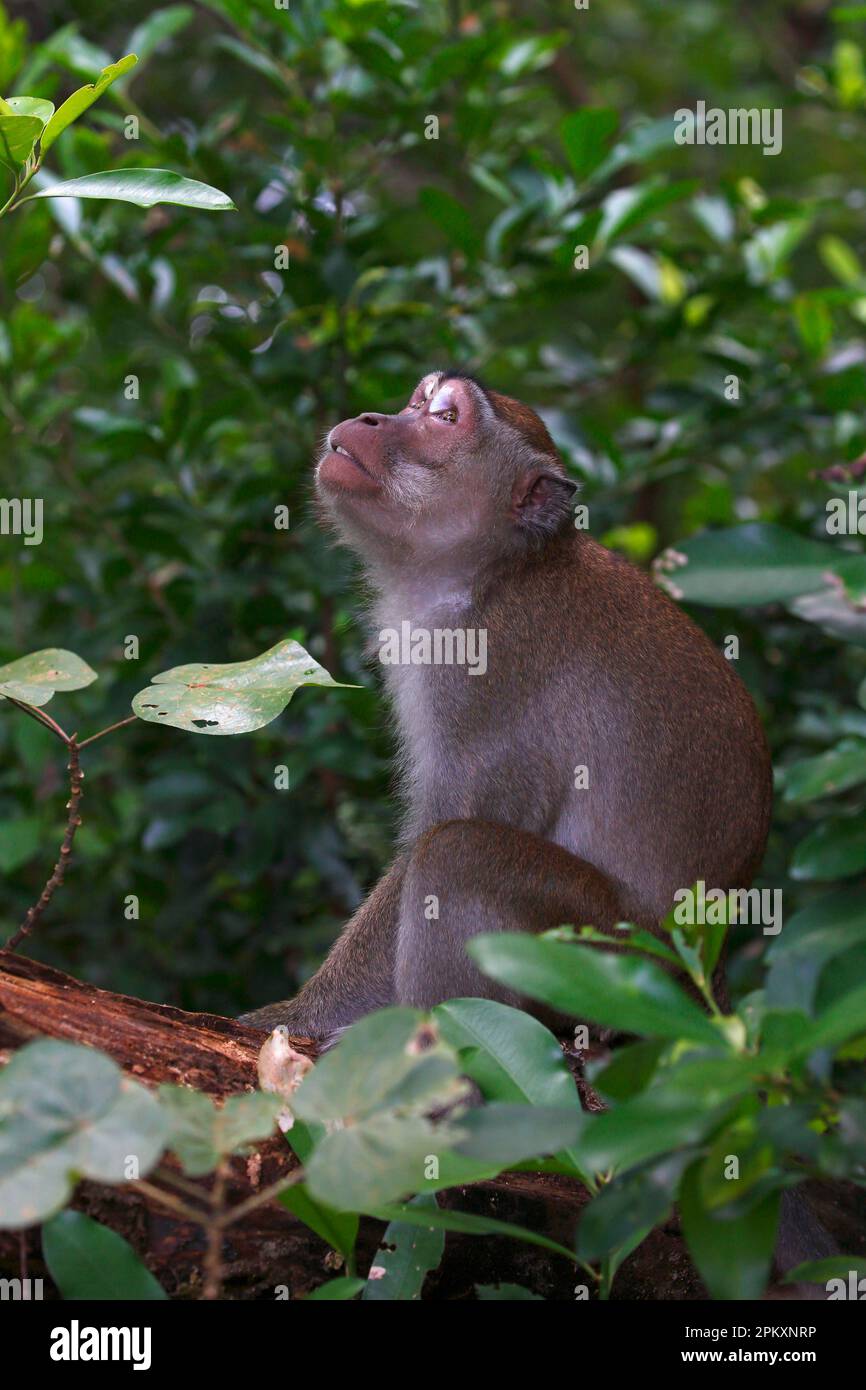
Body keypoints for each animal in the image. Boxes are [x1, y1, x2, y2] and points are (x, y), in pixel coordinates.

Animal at [241, 369, 773, 1040]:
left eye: (445, 418)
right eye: (416, 401)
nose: (369, 417)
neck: (491, 574)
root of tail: (702, 982)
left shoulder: (483, 677)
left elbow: (447, 828)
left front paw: (295, 1016)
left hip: (604, 956)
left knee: (457, 855)